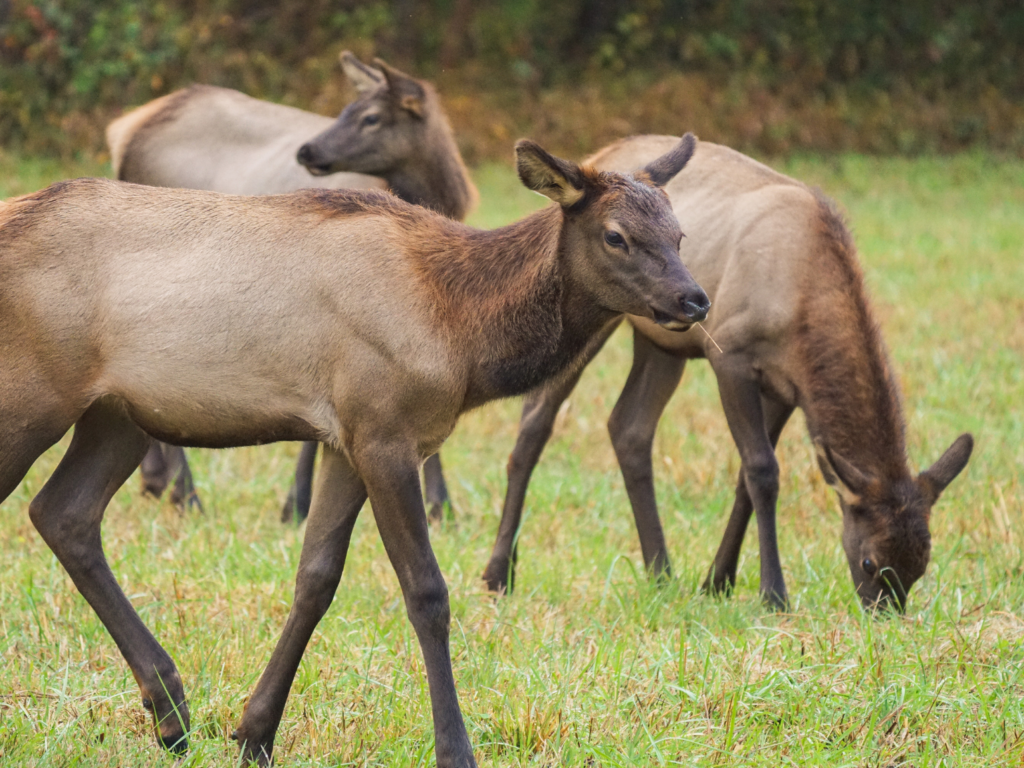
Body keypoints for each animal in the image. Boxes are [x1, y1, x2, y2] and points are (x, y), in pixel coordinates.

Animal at [0, 135, 708, 765]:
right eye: (616, 236)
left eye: (679, 234)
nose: (695, 299)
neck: (463, 335)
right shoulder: (384, 433)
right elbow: (426, 592)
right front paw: (456, 749)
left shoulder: (347, 441)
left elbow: (316, 579)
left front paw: (254, 733)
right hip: (31, 398)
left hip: (116, 416)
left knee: (64, 514)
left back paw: (172, 712)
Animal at [102, 52, 471, 524]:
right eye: (347, 109)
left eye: (370, 116)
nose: (307, 150)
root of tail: (125, 130)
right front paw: (295, 504)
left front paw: (442, 505)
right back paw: (186, 494)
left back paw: (158, 485)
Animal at [483, 134, 970, 614]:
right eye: (869, 561)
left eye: (921, 564)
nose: (883, 613)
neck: (801, 310)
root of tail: (599, 154)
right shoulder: (731, 355)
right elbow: (763, 470)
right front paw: (772, 592)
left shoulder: (785, 388)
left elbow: (745, 478)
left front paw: (717, 581)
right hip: (599, 320)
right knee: (535, 423)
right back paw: (499, 572)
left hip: (663, 342)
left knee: (629, 427)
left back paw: (660, 571)